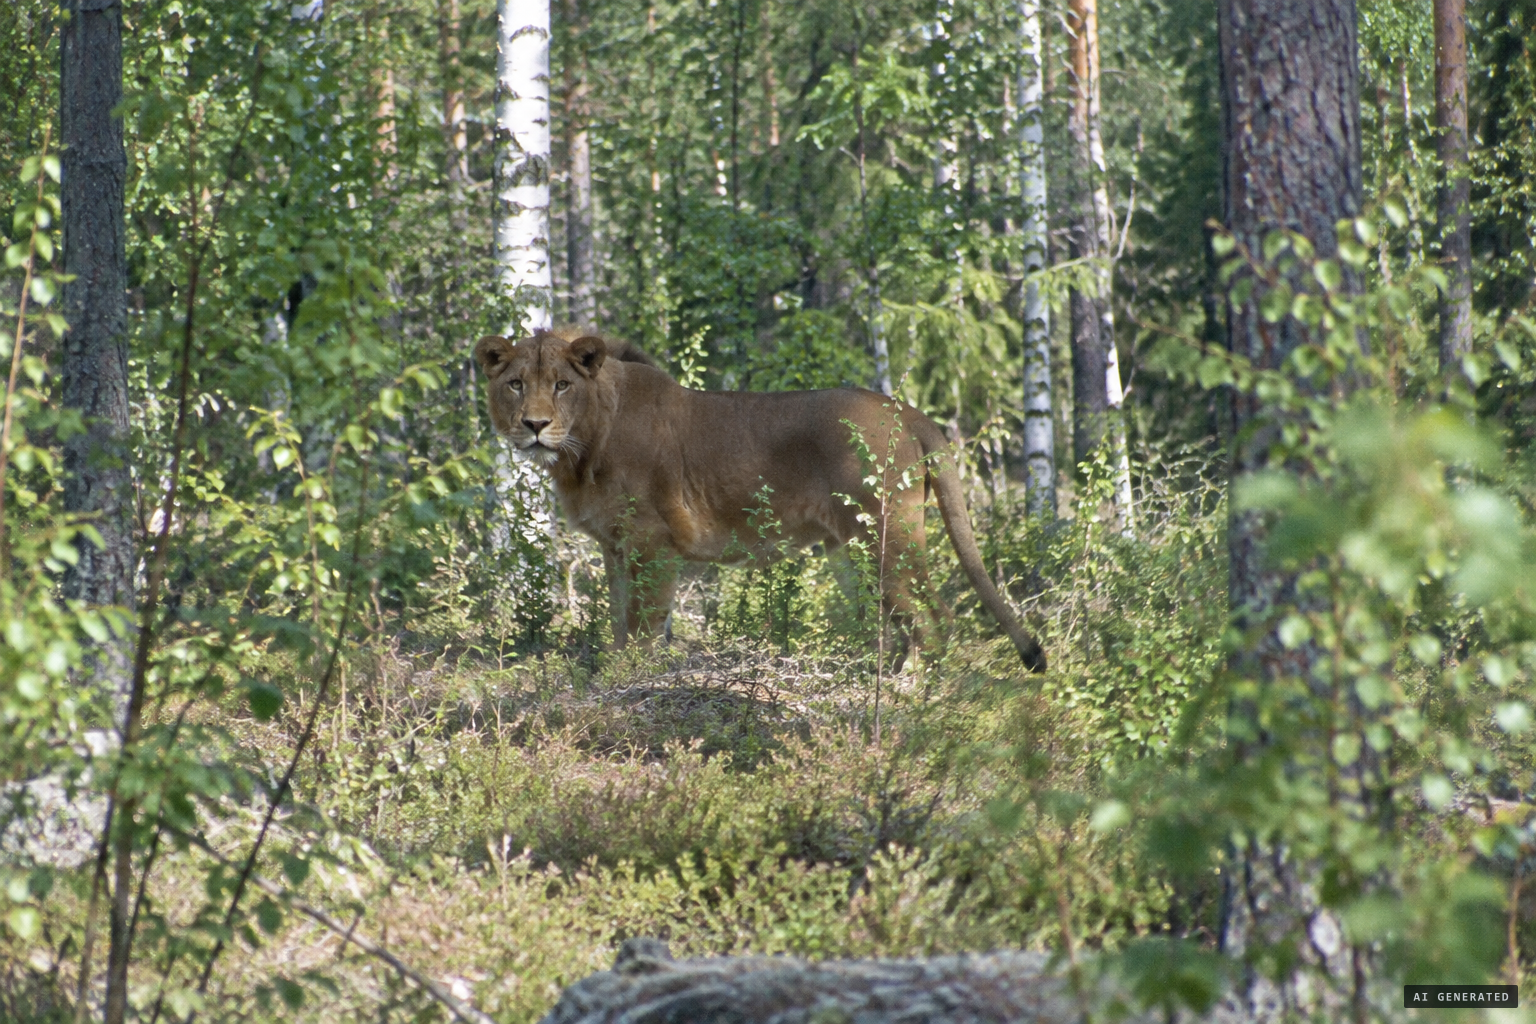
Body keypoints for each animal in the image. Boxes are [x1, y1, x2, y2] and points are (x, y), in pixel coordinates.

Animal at [474, 328, 1045, 672]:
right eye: (516, 384)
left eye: (562, 385)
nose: (534, 425)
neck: (583, 447)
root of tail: (904, 409)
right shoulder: (615, 547)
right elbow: (619, 620)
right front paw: (614, 672)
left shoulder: (651, 543)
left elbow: (642, 624)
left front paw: (633, 679)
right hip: (855, 549)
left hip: (885, 535)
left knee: (936, 615)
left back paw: (910, 690)